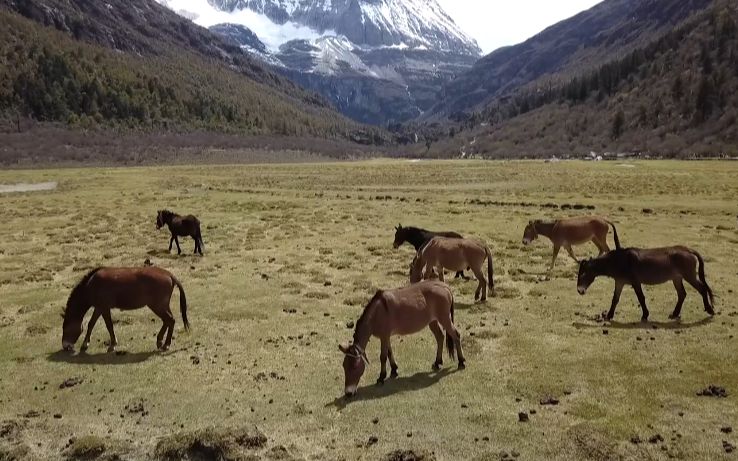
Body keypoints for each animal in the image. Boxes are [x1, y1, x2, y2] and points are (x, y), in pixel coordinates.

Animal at [576, 246, 712, 322]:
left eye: (583, 273)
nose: (579, 290)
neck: (618, 260)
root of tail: (688, 250)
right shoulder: (620, 282)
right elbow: (615, 299)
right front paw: (609, 316)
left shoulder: (635, 282)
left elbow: (641, 298)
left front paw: (645, 315)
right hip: (677, 278)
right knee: (682, 294)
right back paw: (674, 314)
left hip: (689, 276)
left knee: (702, 289)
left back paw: (710, 310)